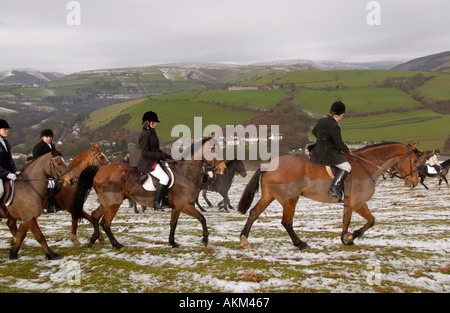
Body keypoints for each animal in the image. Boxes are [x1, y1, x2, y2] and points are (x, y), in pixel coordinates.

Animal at [74, 136, 229, 249]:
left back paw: (93, 239)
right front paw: (205, 239)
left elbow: (173, 224)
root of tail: (100, 170)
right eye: (213, 150)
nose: (224, 168)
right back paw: (116, 244)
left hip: (108, 202)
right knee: (105, 222)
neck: (186, 173)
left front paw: (172, 242)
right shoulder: (184, 205)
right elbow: (202, 218)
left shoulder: (177, 207)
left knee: (95, 215)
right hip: (113, 203)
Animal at [239, 141, 418, 249]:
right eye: (415, 160)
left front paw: (346, 238)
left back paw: (244, 239)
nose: (415, 182)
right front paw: (351, 236)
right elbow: (369, 221)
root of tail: (269, 165)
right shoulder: (358, 201)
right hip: (290, 199)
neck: (366, 165)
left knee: (254, 213)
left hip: (268, 196)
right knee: (286, 222)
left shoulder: (350, 202)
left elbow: (349, 220)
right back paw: (300, 243)